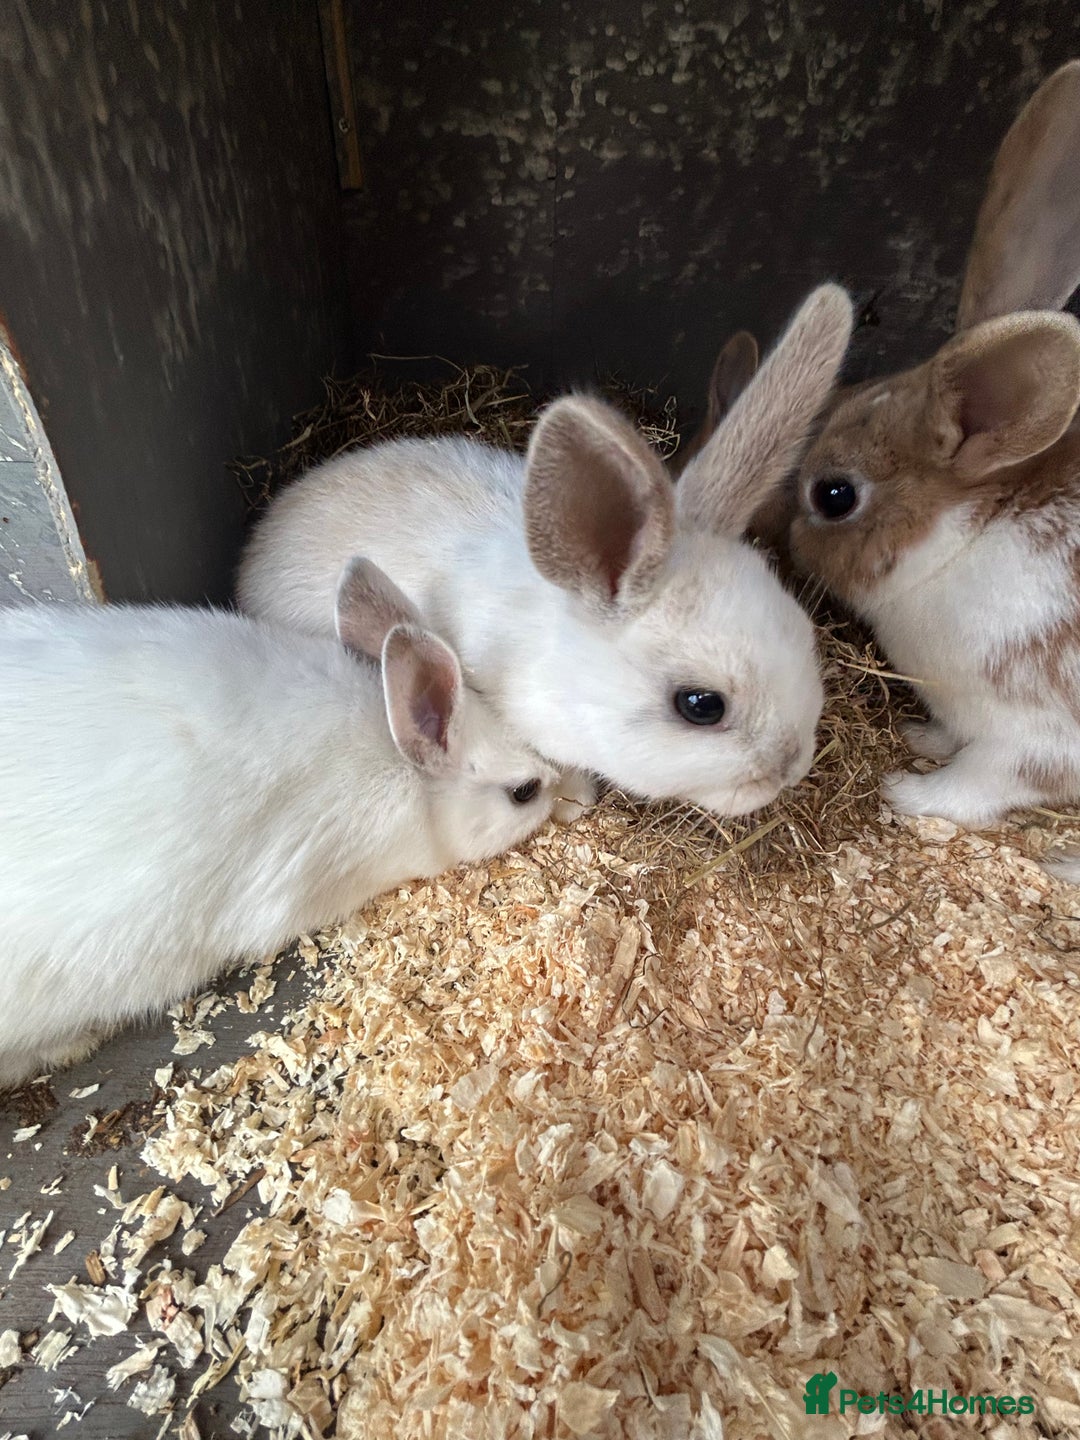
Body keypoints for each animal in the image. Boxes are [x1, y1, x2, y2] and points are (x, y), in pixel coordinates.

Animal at [770, 60, 1080, 839]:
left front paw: (908, 794)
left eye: (834, 495)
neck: (959, 541)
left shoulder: (1036, 737)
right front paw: (921, 739)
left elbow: (986, 780)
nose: (782, 541)